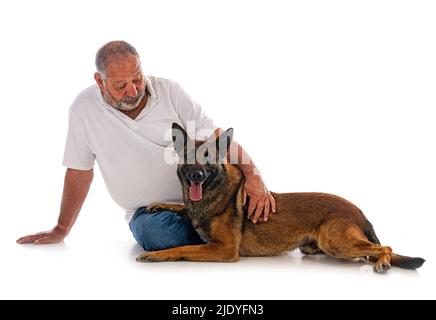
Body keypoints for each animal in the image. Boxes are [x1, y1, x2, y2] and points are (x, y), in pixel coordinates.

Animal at [135, 124, 424, 274]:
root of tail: (359, 211)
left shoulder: (224, 249)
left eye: (207, 159)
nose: (196, 175)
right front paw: (161, 204)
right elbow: (181, 208)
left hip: (335, 241)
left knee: (385, 247)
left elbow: (182, 248)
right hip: (319, 246)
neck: (213, 193)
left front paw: (156, 254)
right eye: (188, 158)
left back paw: (384, 261)